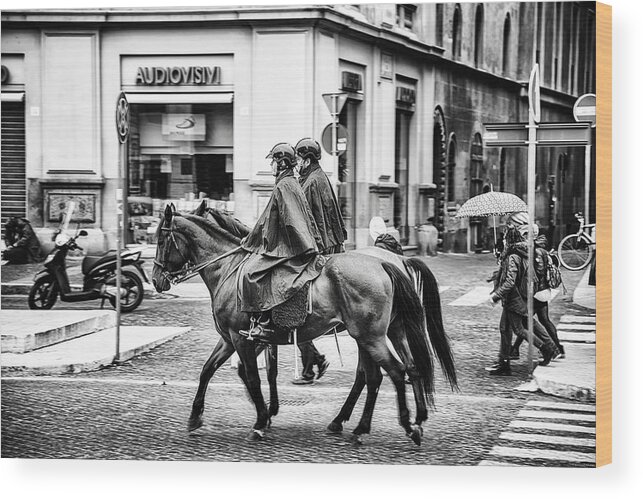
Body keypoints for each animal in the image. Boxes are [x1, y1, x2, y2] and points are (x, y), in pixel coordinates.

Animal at [153, 203, 458, 446]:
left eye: (161, 239)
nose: (156, 280)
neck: (230, 269)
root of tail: (387, 263)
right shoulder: (232, 339)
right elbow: (209, 370)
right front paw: (196, 417)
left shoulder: (242, 339)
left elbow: (252, 376)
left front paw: (261, 420)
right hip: (385, 333)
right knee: (398, 370)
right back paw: (375, 423)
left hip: (371, 337)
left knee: (392, 372)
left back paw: (400, 425)